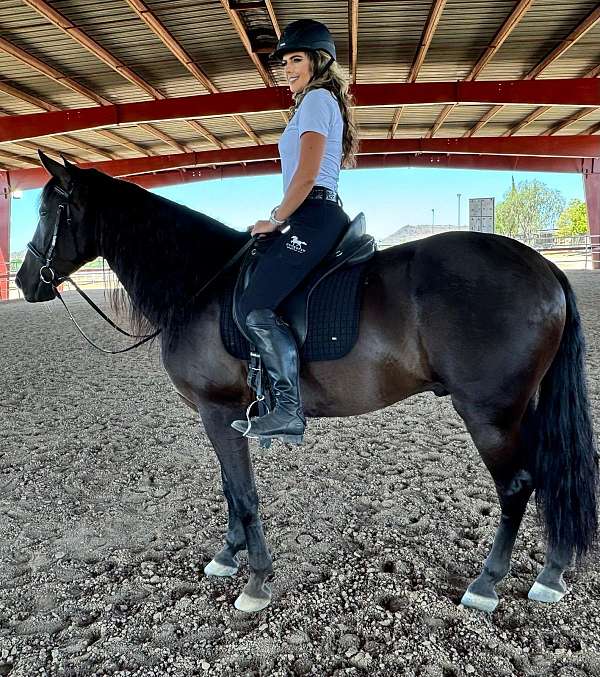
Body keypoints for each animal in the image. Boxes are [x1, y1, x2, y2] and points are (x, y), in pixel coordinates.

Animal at [16, 154, 596, 612]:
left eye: (46, 212)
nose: (24, 282)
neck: (199, 282)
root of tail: (542, 265)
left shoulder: (218, 409)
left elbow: (244, 493)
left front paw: (255, 582)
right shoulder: (224, 414)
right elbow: (230, 489)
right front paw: (228, 556)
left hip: (490, 414)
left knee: (518, 484)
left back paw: (487, 583)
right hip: (521, 408)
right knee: (555, 471)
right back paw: (551, 574)